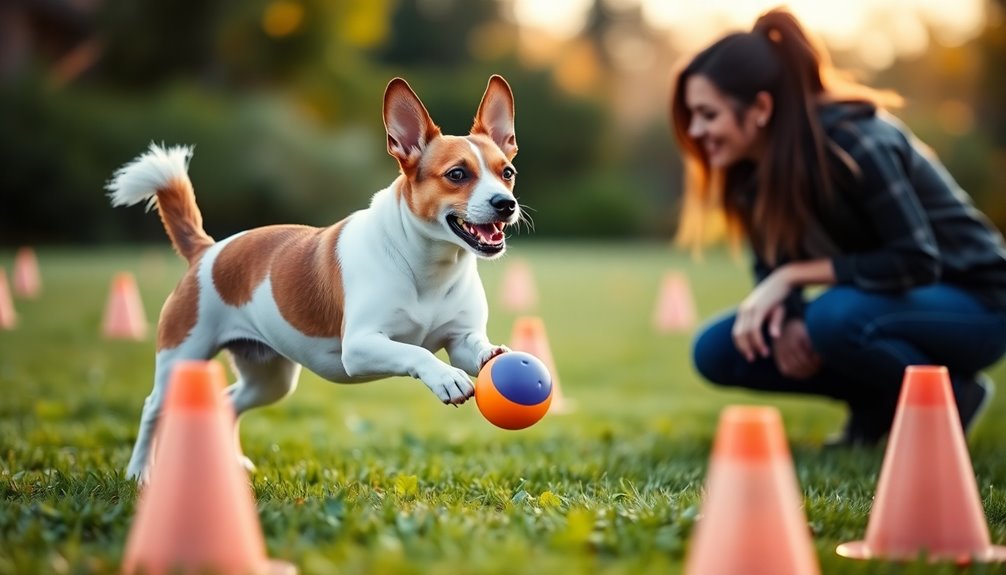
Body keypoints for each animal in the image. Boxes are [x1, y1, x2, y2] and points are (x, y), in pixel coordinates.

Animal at [107, 75, 523, 480]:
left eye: (507, 173)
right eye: (457, 174)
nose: (506, 204)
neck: (428, 266)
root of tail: (206, 250)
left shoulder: (460, 339)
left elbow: (473, 349)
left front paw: (494, 354)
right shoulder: (359, 346)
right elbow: (415, 351)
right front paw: (444, 377)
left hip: (268, 380)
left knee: (227, 402)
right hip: (183, 356)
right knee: (153, 408)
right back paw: (140, 472)